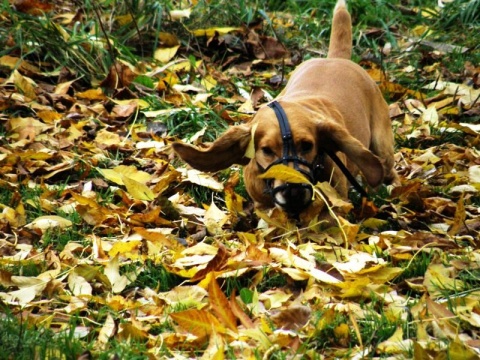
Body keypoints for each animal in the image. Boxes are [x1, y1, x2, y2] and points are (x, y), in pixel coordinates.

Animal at [172, 0, 398, 219]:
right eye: (266, 150)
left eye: (307, 146)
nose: (293, 191)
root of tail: (336, 58)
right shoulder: (263, 206)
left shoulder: (334, 206)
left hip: (383, 149)